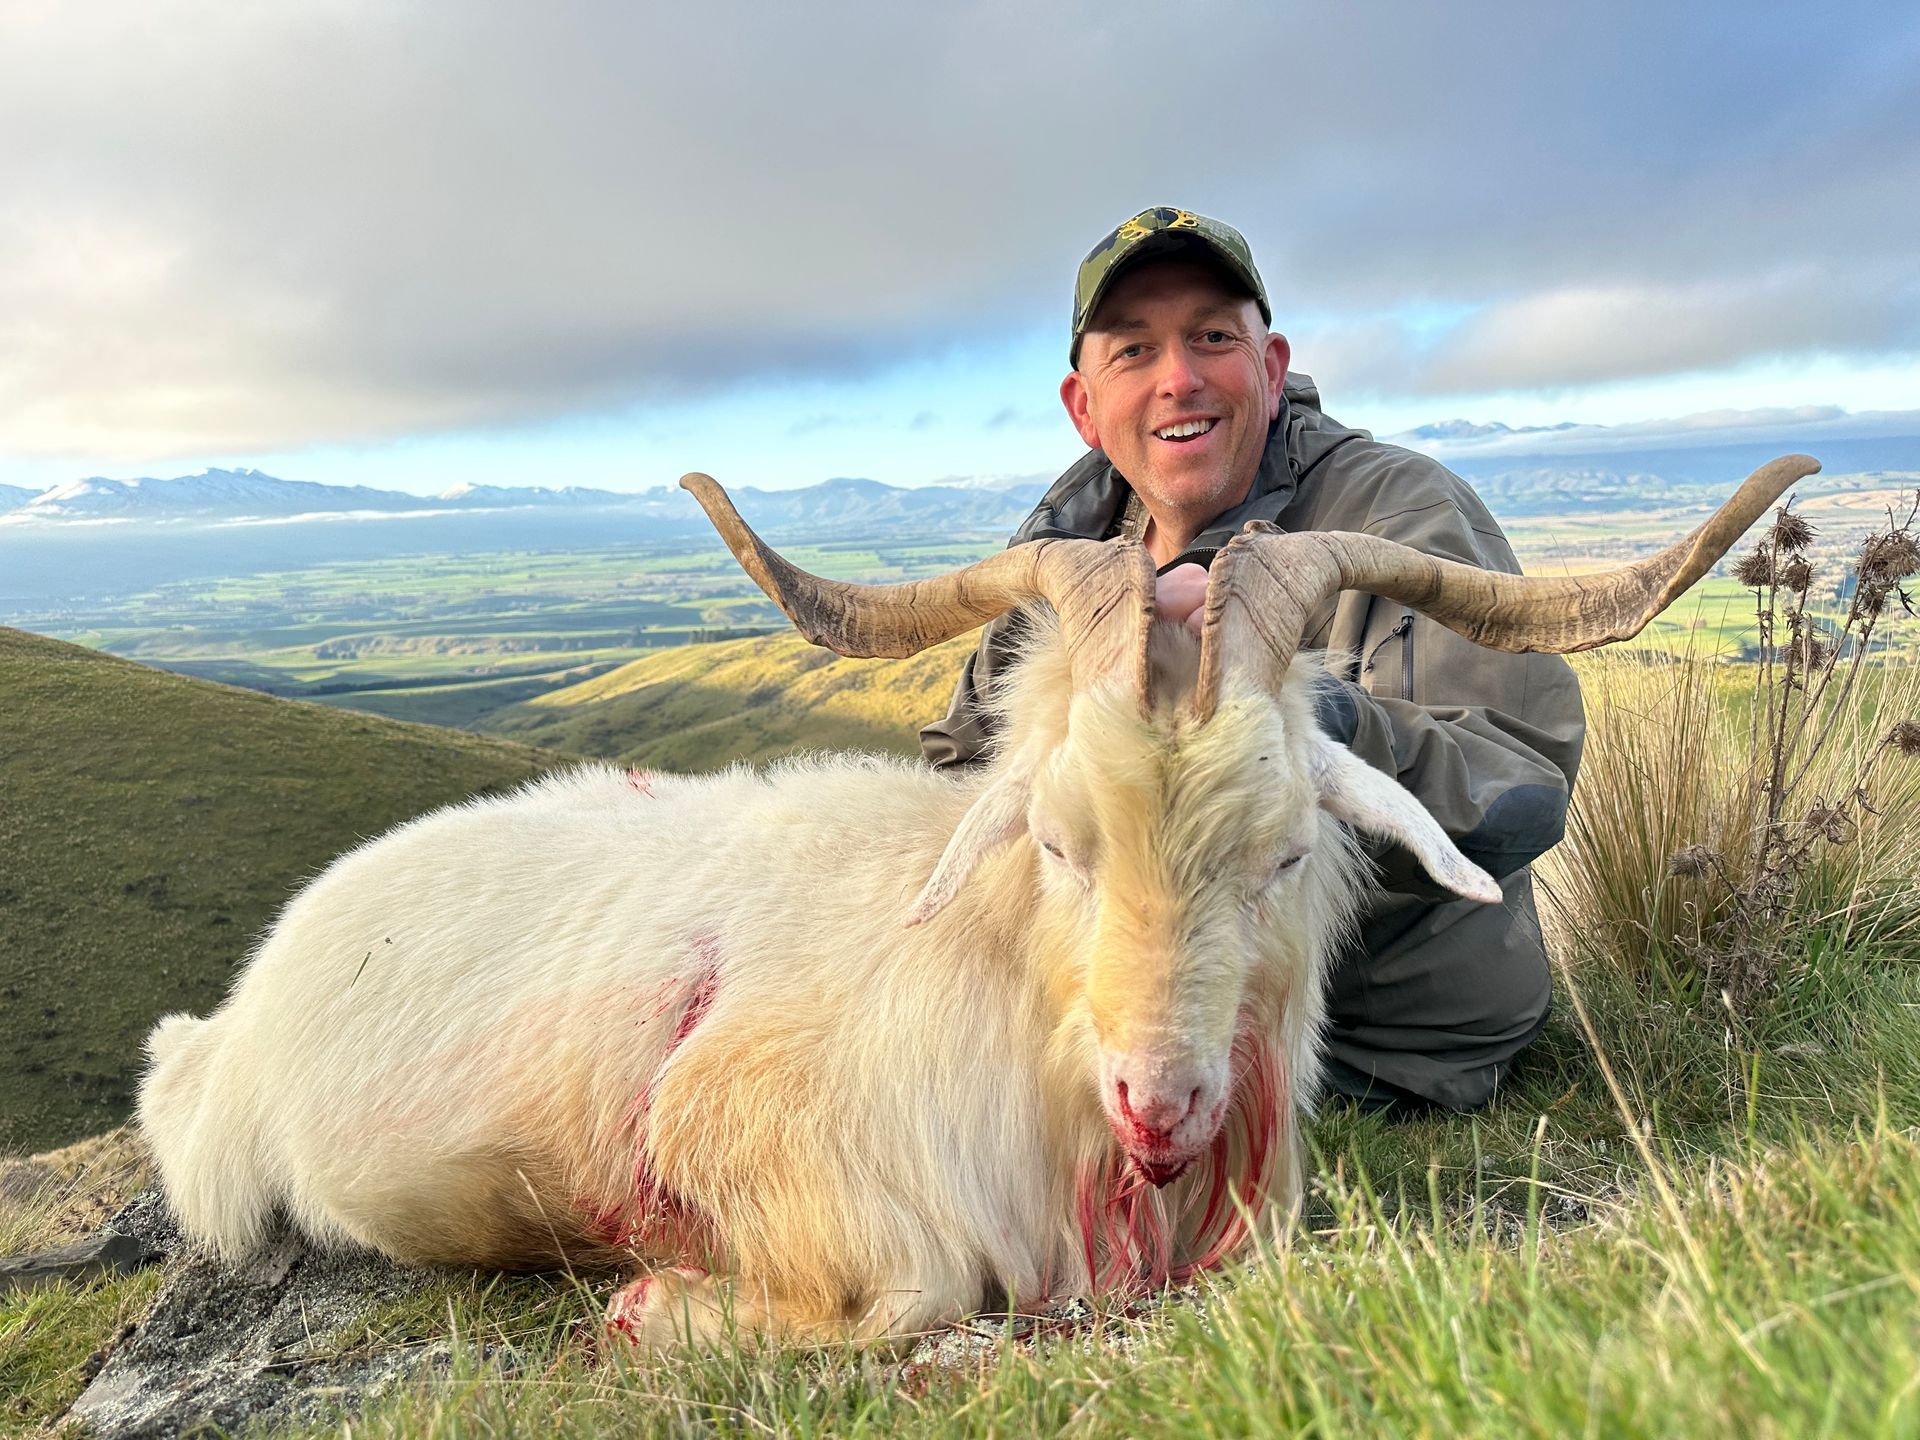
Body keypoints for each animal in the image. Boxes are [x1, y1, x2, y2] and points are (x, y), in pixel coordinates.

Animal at [137, 456, 1818, 1347]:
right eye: (1061, 843)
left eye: (1283, 852)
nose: (1162, 1105)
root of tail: (226, 1021)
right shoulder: (754, 1131)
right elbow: (916, 1297)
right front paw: (662, 1308)